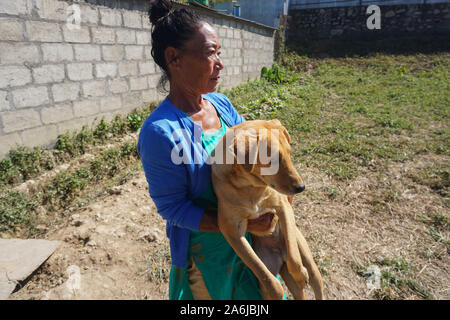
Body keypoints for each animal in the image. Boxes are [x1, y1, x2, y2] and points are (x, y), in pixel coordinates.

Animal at [211, 118, 324, 300]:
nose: (301, 187)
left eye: (289, 153)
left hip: (305, 253)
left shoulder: (283, 207)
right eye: (273, 160)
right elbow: (266, 278)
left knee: (313, 276)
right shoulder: (232, 231)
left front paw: (300, 275)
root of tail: (280, 255)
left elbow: (294, 258)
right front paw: (277, 289)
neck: (251, 188)